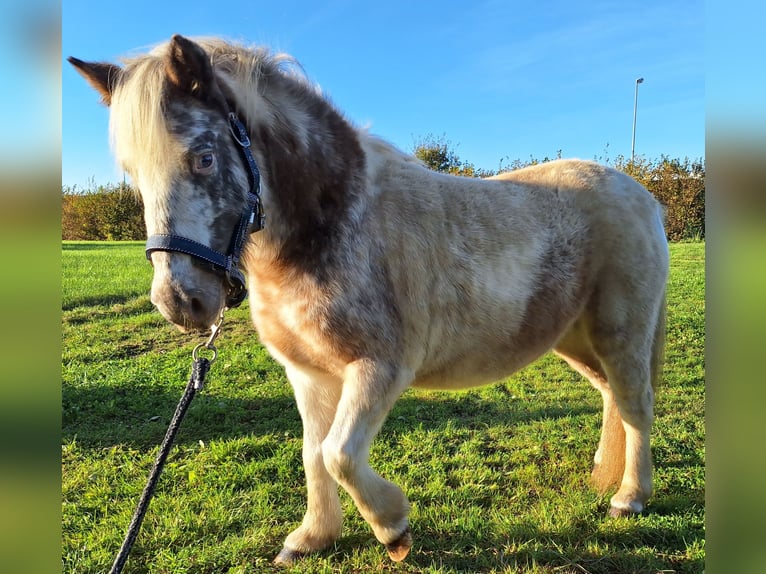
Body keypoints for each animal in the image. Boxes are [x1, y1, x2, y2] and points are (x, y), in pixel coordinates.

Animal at [69, 35, 668, 568]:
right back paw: (603, 473)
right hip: (574, 339)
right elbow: (313, 453)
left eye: (204, 158)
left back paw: (628, 497)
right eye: (133, 174)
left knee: (636, 404)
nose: (181, 301)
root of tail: (643, 196)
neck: (335, 224)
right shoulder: (309, 375)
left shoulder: (379, 369)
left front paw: (394, 528)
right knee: (611, 396)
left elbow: (339, 455)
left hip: (621, 333)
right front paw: (312, 538)